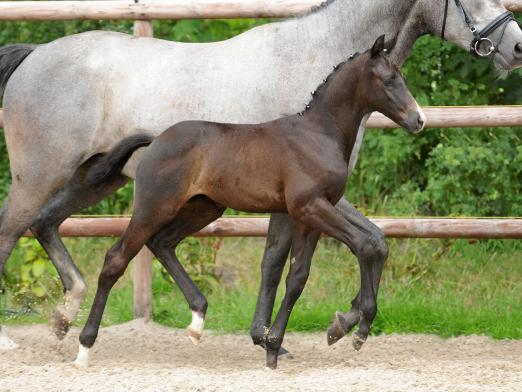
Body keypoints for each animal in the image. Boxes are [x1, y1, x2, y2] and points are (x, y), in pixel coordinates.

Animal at [74, 35, 422, 370]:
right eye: (389, 80)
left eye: (402, 77)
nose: (418, 120)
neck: (319, 134)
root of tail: (156, 139)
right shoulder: (310, 207)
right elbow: (364, 246)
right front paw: (357, 329)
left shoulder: (307, 216)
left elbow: (299, 276)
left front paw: (275, 345)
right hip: (154, 207)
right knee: (116, 259)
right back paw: (84, 348)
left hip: (204, 207)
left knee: (162, 243)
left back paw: (197, 321)